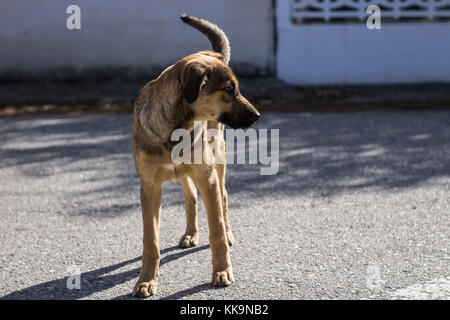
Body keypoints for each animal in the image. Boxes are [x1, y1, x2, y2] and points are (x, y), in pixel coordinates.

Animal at [132, 14, 258, 296]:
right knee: (190, 197)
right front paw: (146, 280)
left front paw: (222, 271)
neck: (175, 128)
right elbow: (150, 241)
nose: (257, 116)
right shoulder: (149, 188)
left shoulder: (208, 179)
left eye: (236, 88)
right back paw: (190, 233)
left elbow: (216, 232)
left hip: (217, 162)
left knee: (223, 197)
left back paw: (227, 232)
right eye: (229, 90)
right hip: (185, 173)